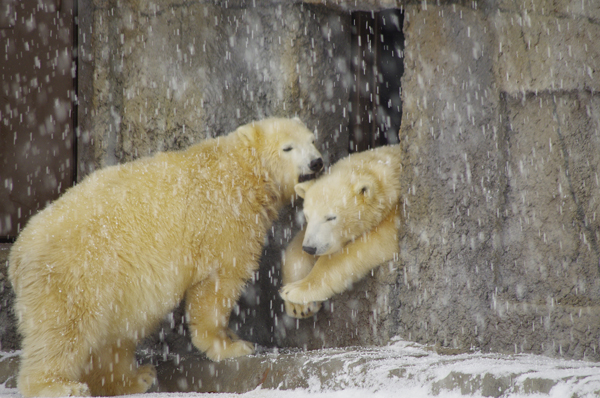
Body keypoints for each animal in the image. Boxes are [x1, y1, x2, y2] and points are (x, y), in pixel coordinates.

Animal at [7, 116, 324, 396]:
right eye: (288, 147)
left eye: (312, 141)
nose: (317, 162)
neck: (243, 171)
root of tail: (17, 254)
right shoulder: (224, 219)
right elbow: (216, 283)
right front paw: (232, 345)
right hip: (74, 273)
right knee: (63, 330)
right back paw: (60, 386)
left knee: (112, 340)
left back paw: (136, 378)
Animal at [278, 145, 400, 318]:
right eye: (307, 216)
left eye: (331, 217)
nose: (310, 248)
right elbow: (296, 247)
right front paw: (298, 306)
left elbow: (369, 244)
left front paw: (295, 290)